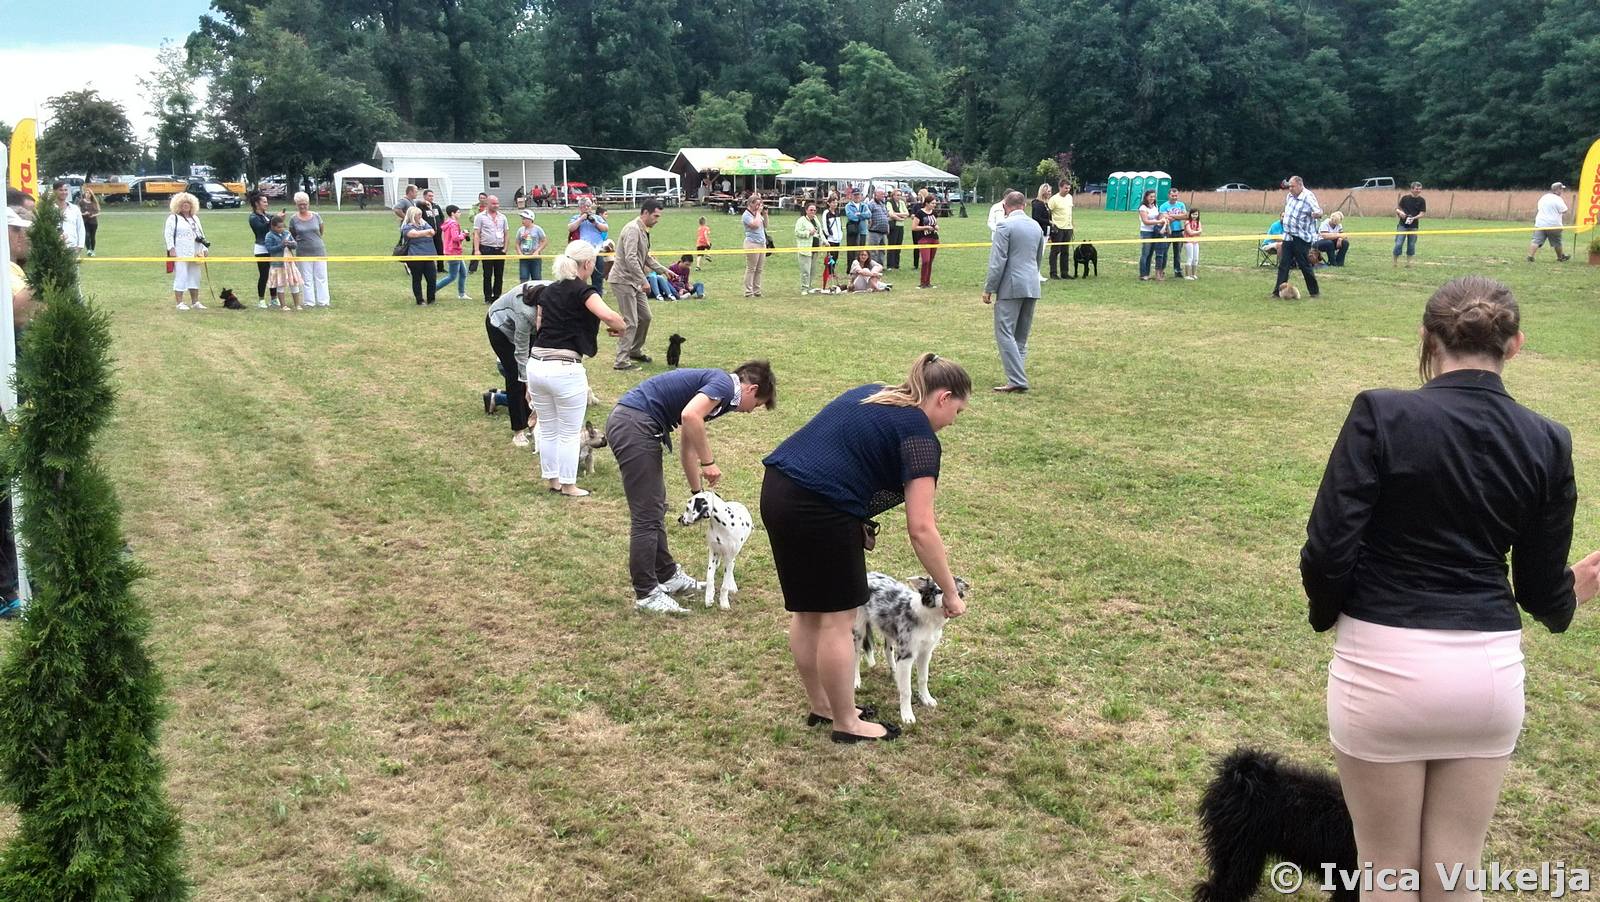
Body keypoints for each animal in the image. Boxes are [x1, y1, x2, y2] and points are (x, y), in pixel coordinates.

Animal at [853, 572, 970, 724]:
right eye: (938, 591)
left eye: (955, 591)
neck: (928, 618)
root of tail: (868, 573)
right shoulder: (906, 656)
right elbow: (906, 691)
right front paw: (907, 714)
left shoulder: (925, 653)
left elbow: (923, 679)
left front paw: (926, 699)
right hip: (858, 631)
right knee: (855, 657)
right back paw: (856, 680)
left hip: (889, 629)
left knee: (887, 650)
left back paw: (895, 673)